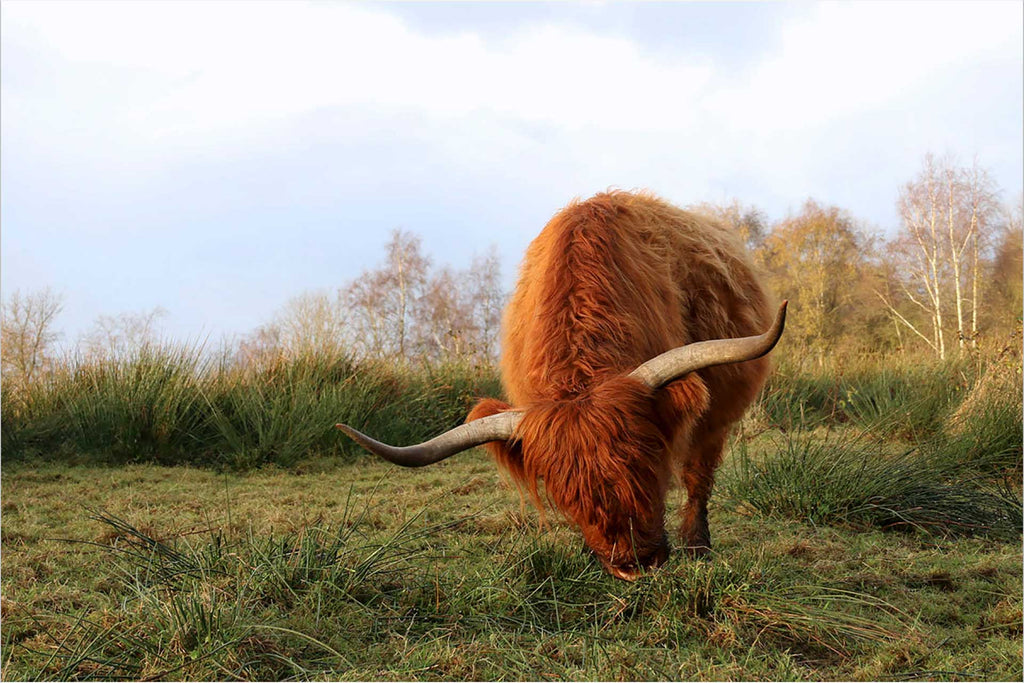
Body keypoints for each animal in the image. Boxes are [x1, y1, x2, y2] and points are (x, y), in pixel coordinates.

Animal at [335, 189, 782, 581]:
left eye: (647, 458)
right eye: (568, 491)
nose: (634, 563)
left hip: (717, 417)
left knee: (698, 475)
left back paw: (698, 545)